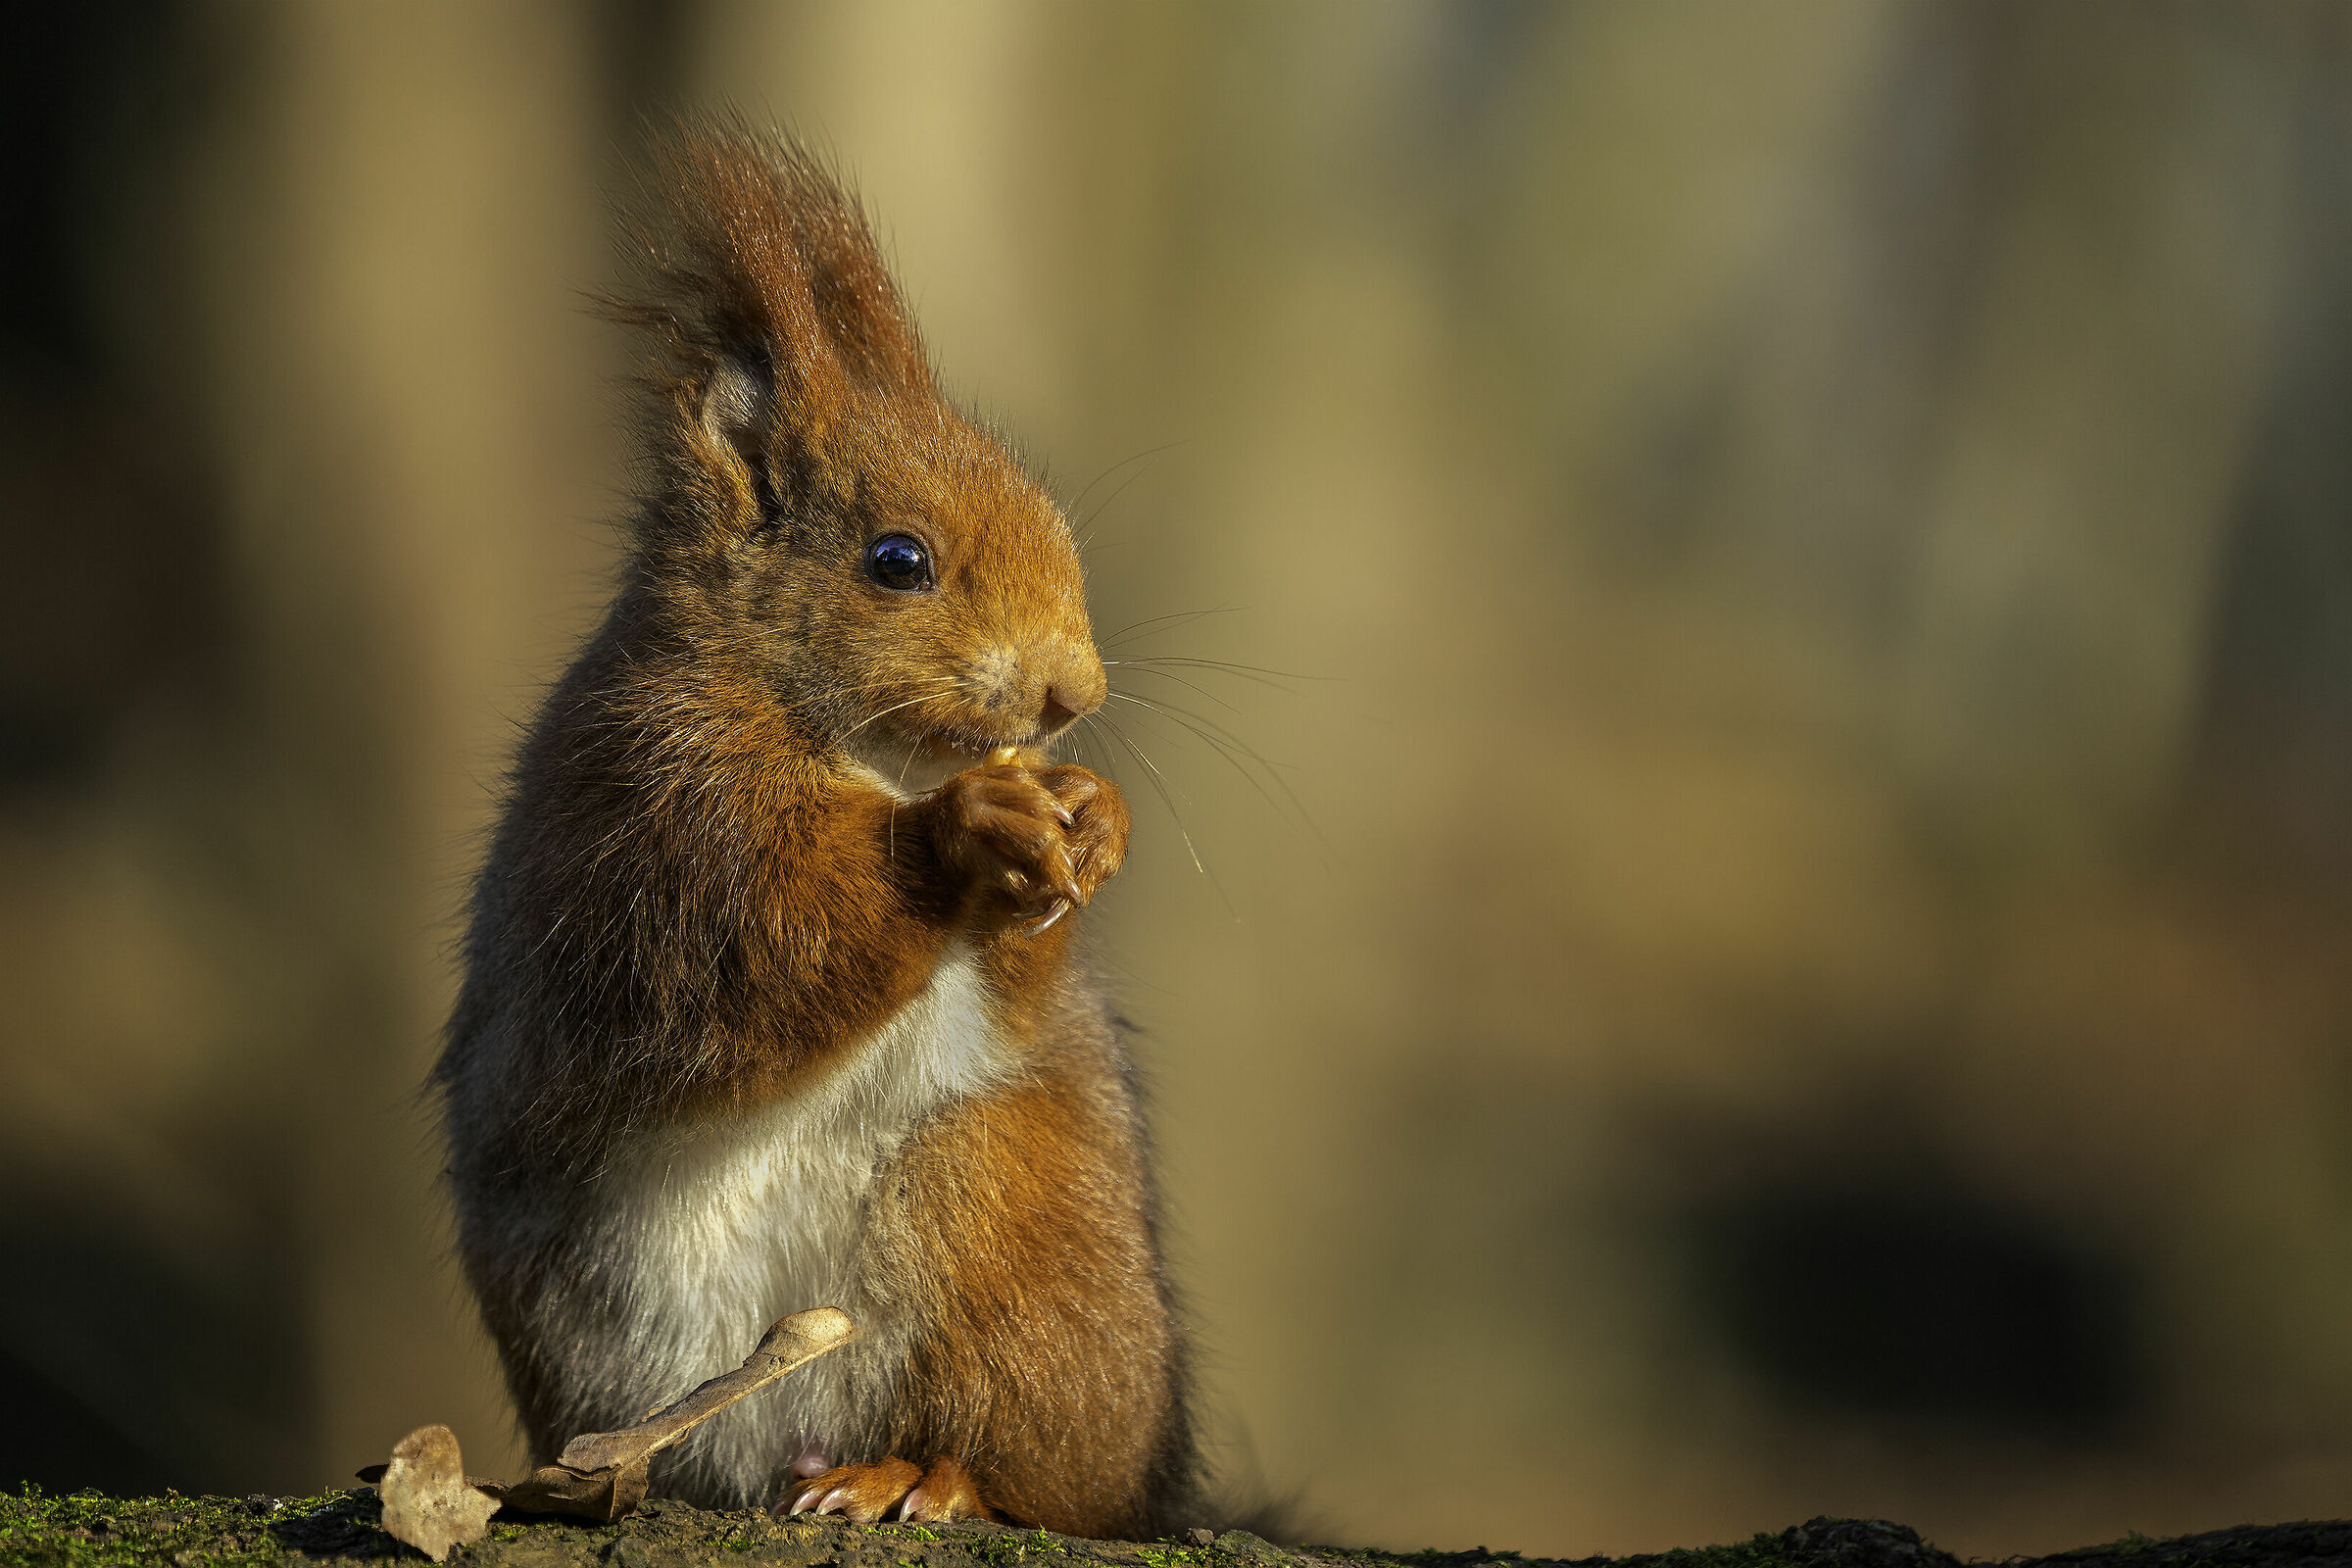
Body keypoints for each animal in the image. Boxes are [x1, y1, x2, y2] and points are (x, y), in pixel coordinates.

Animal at [432, 124, 1197, 1540]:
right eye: (897, 562)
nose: (1074, 694)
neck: (869, 755)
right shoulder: (645, 803)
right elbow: (764, 930)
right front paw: (963, 829)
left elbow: (1016, 983)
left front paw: (1091, 820)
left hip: (1017, 1251)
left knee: (1022, 1463)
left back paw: (921, 1472)